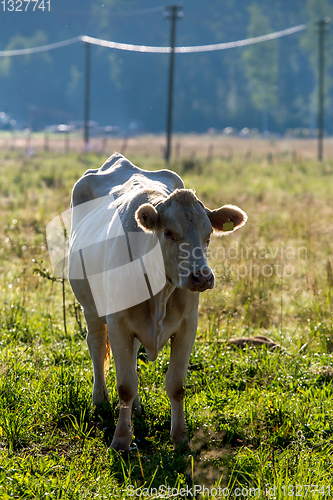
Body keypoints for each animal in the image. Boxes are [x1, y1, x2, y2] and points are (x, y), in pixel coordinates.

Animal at [68, 150, 246, 452]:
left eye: (208, 235)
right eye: (169, 233)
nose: (202, 277)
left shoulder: (187, 326)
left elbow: (175, 385)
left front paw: (180, 438)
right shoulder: (117, 322)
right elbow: (125, 384)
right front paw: (121, 440)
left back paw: (135, 409)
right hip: (90, 308)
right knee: (96, 348)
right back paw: (100, 401)